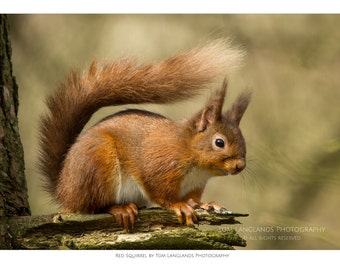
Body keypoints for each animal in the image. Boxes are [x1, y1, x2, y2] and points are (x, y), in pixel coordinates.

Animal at [37, 40, 250, 229]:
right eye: (219, 142)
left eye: (243, 141)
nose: (240, 166)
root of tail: (64, 189)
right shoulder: (159, 167)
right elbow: (160, 193)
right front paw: (179, 205)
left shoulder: (195, 185)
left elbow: (194, 199)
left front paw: (205, 204)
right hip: (98, 164)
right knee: (93, 206)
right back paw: (120, 208)